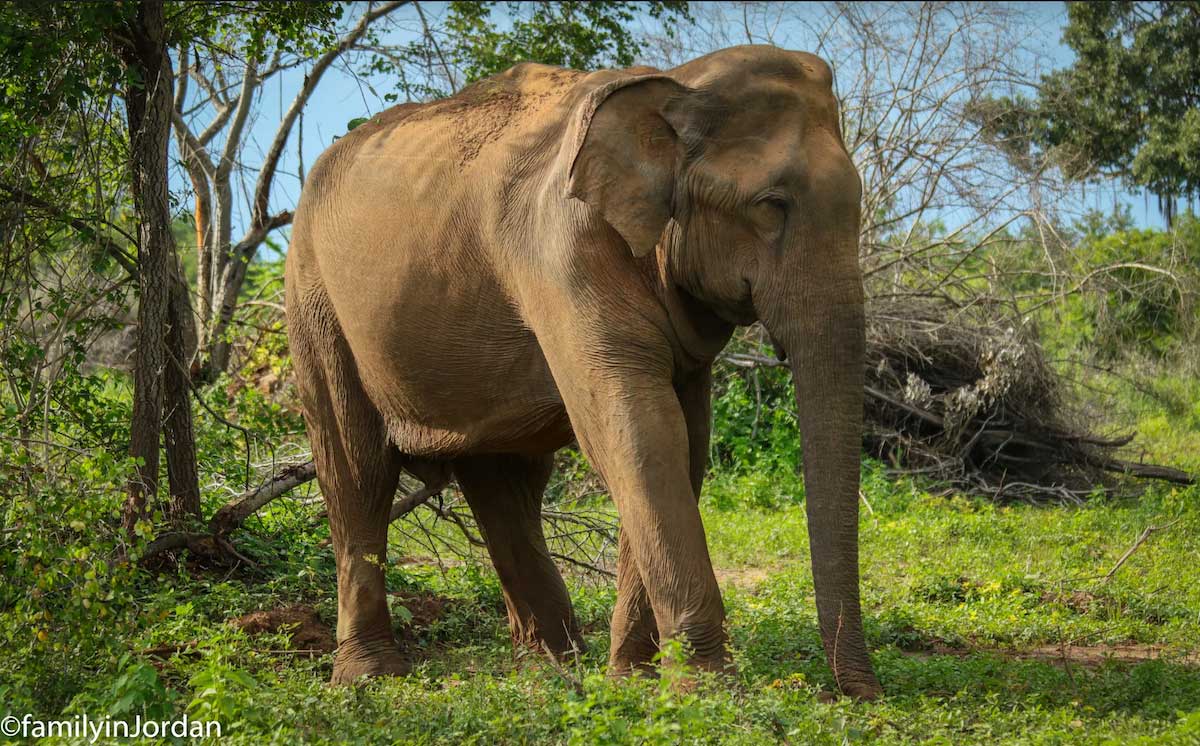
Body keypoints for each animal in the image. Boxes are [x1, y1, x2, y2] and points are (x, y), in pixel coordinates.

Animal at [284, 44, 882, 699]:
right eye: (770, 205)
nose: (862, 694)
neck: (675, 84)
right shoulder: (561, 251)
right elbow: (638, 430)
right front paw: (707, 689)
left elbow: (684, 441)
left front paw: (632, 679)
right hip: (315, 300)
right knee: (358, 473)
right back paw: (370, 678)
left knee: (505, 481)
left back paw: (549, 668)